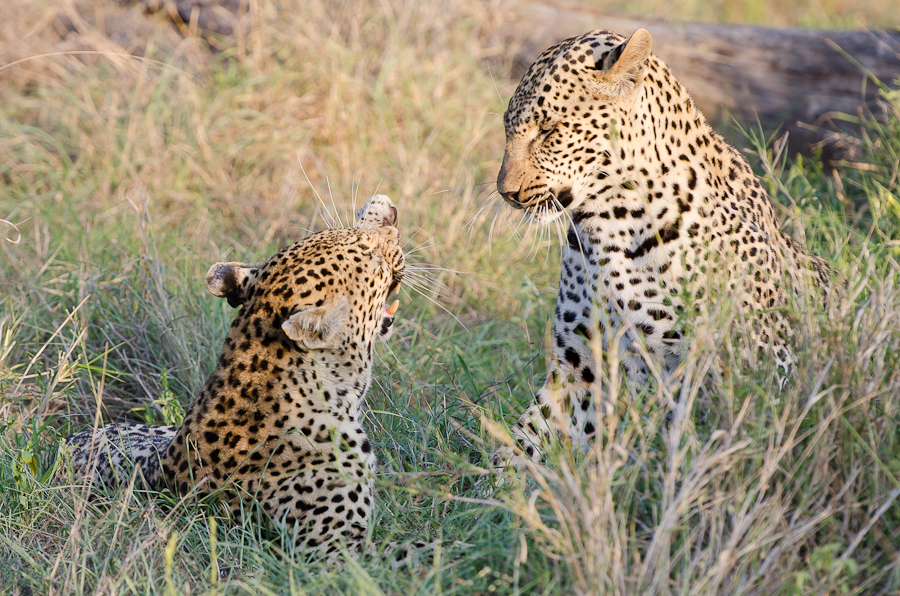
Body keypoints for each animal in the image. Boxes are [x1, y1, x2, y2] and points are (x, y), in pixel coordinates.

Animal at [496, 28, 832, 464]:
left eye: (549, 131)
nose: (505, 192)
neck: (610, 223)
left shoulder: (757, 362)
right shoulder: (579, 362)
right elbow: (526, 440)